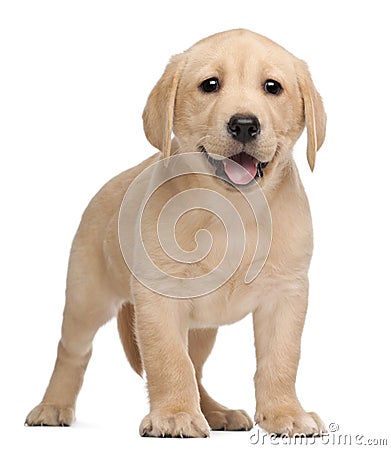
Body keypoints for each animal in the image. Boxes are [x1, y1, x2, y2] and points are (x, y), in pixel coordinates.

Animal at [25, 29, 328, 438]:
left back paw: (216, 413)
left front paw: (285, 413)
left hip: (202, 329)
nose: (244, 124)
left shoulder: (286, 294)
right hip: (86, 299)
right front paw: (174, 415)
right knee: (72, 351)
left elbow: (281, 359)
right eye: (210, 85)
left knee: (196, 370)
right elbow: (169, 360)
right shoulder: (159, 299)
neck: (233, 211)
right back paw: (53, 406)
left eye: (272, 87)